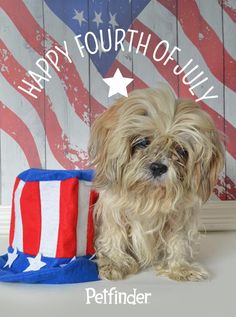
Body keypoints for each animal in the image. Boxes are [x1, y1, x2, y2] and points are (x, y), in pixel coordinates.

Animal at [88, 84, 223, 282]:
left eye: (181, 150)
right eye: (143, 142)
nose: (158, 167)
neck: (148, 195)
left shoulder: (178, 218)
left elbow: (177, 242)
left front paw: (180, 267)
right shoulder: (114, 212)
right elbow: (114, 236)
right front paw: (115, 263)